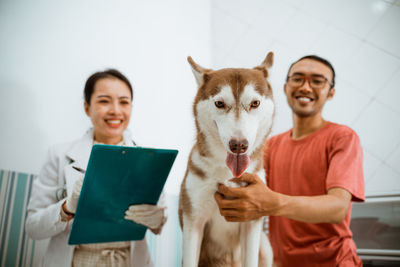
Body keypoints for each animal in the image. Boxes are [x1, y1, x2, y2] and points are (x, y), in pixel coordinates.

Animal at [179, 52, 276, 267]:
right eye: (219, 103)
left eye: (255, 103)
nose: (238, 145)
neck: (227, 173)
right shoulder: (194, 221)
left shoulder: (251, 220)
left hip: (265, 246)